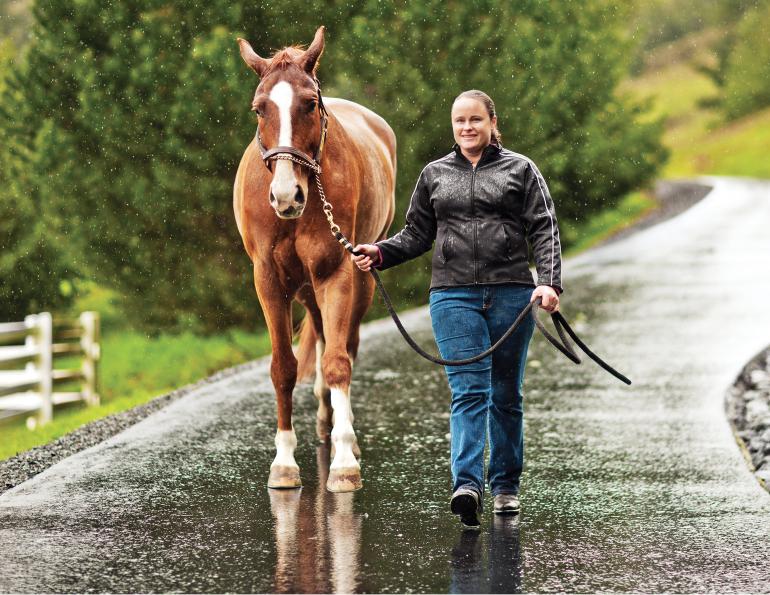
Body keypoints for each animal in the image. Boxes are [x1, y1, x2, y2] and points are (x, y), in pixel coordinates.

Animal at [231, 26, 392, 494]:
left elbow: (338, 363)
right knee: (321, 335)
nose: (287, 196)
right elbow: (283, 368)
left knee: (345, 345)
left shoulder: (336, 272)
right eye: (259, 108)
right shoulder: (269, 280)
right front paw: (284, 463)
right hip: (304, 287)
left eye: (309, 104)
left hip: (360, 279)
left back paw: (344, 433)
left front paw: (343, 463)